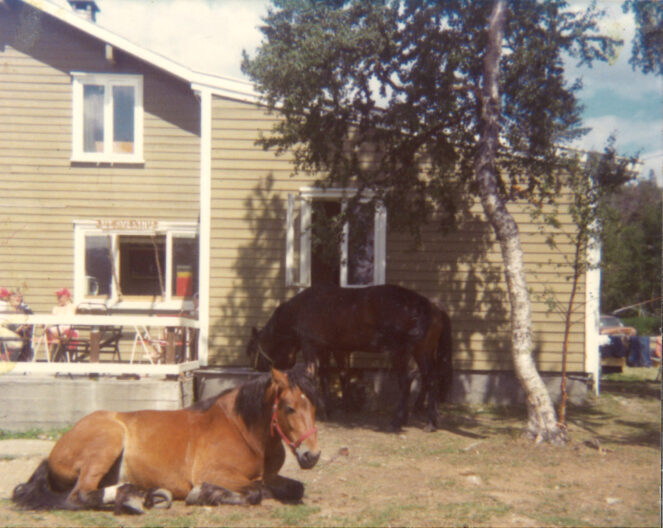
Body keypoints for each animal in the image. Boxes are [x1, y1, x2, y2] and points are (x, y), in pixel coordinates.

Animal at [11, 366, 322, 512]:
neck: (241, 429)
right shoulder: (217, 474)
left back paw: (146, 494)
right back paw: (133, 497)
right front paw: (205, 494)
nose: (312, 455)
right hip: (108, 441)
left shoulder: (270, 476)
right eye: (289, 408)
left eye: (314, 406)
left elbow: (294, 488)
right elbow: (254, 491)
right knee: (81, 495)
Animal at [246, 286, 454, 432]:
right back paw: (429, 420)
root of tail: (431, 306)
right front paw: (340, 406)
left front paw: (322, 409)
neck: (300, 310)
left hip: (402, 352)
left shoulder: (310, 346)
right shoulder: (330, 349)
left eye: (251, 350)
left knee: (409, 380)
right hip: (422, 351)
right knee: (429, 379)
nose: (257, 369)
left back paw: (400, 421)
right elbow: (334, 375)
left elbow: (314, 376)